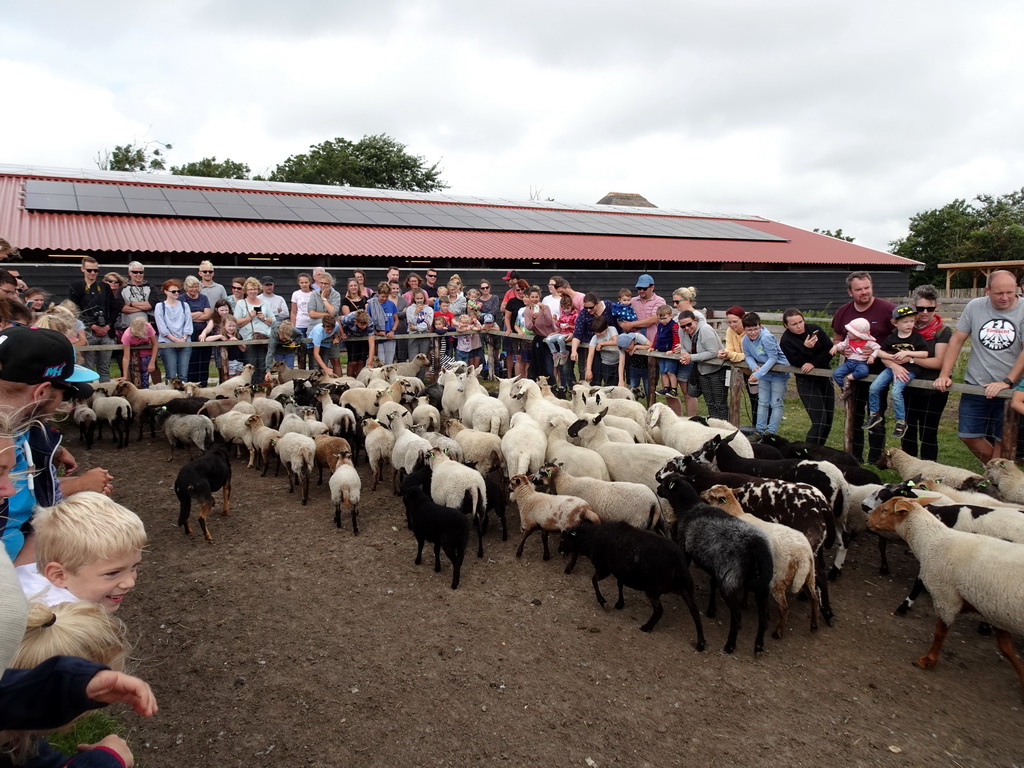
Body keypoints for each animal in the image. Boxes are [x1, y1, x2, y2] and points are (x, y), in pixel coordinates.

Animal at [700, 487, 819, 643]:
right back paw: (814, 624)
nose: (700, 493)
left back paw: (778, 633)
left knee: (784, 607)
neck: (737, 514)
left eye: (712, 493)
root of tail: (803, 554)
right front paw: (744, 602)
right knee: (814, 598)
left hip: (779, 578)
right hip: (809, 575)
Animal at [868, 495, 1024, 700]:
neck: (933, 540)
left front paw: (927, 660)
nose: (867, 520)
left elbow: (939, 633)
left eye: (885, 510)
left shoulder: (946, 598)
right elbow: (1007, 649)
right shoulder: (994, 609)